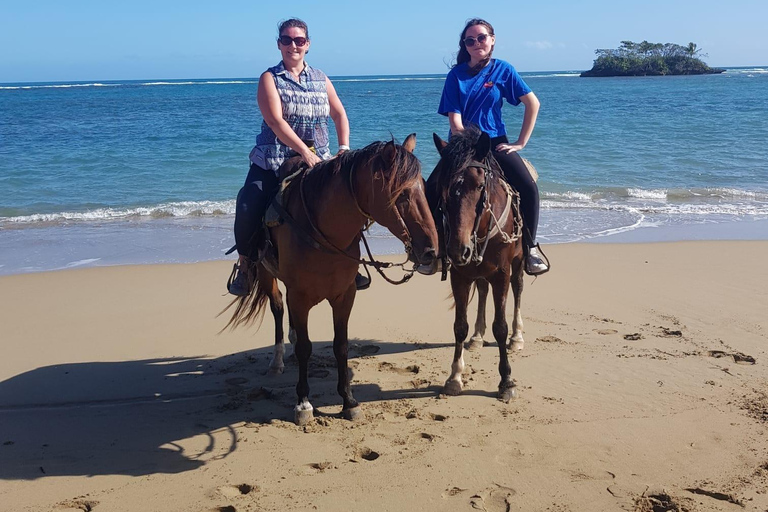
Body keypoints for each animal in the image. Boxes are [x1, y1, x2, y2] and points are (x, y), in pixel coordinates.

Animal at [225, 135, 438, 424]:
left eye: (423, 189)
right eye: (402, 194)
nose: (431, 252)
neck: (322, 232)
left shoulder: (344, 295)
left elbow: (341, 345)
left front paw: (348, 401)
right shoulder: (300, 296)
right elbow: (306, 347)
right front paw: (303, 403)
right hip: (267, 273)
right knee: (278, 307)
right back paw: (277, 361)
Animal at [426, 128, 528, 404]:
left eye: (480, 185)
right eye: (443, 187)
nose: (458, 249)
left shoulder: (502, 273)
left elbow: (500, 327)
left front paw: (506, 381)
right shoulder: (459, 275)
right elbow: (459, 326)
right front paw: (454, 377)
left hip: (517, 262)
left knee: (518, 288)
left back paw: (517, 337)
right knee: (482, 291)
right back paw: (477, 337)